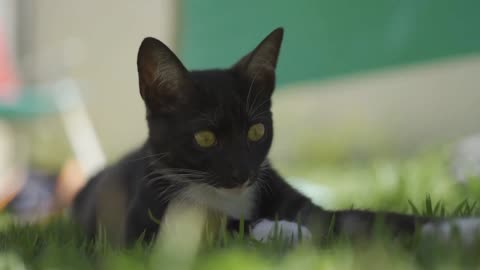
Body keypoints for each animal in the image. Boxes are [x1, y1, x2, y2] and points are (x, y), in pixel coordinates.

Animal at [72, 28, 480, 247]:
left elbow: (359, 219)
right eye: (204, 138)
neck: (229, 198)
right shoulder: (141, 230)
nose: (241, 174)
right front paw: (278, 229)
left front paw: (456, 228)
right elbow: (212, 228)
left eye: (256, 131)